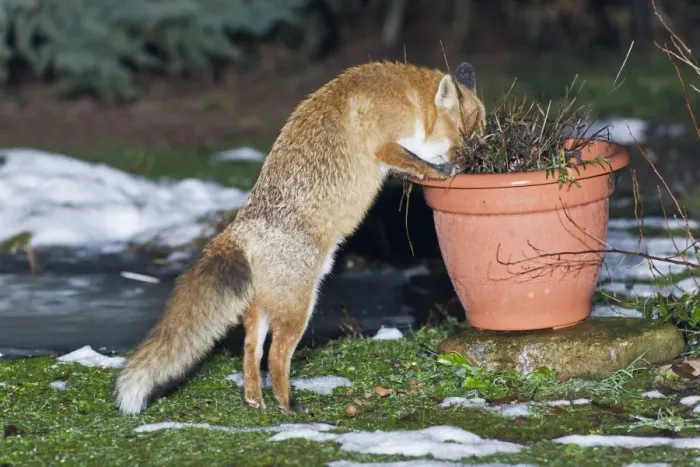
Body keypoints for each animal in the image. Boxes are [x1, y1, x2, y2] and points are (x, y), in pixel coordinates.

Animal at [115, 60, 486, 415]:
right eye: (466, 137)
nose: (478, 161)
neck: (410, 99)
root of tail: (239, 228)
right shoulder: (385, 144)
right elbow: (421, 163)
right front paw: (446, 172)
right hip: (298, 308)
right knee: (276, 356)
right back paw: (288, 406)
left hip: (265, 308)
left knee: (250, 350)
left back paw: (255, 401)